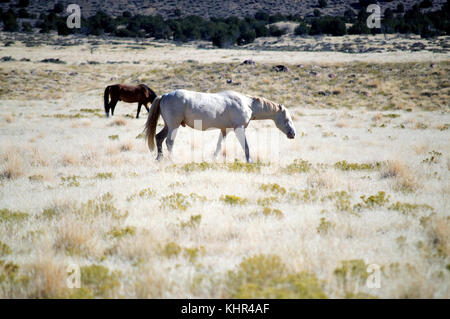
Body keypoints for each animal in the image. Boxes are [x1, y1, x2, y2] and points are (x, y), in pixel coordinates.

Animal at [144, 90, 298, 164]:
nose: (293, 134)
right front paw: (249, 161)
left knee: (159, 138)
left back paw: (159, 159)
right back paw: (172, 160)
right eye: (286, 119)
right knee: (169, 142)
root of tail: (164, 95)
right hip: (174, 126)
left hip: (168, 126)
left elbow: (218, 147)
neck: (247, 104)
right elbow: (246, 146)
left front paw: (212, 160)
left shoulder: (225, 130)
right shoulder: (239, 128)